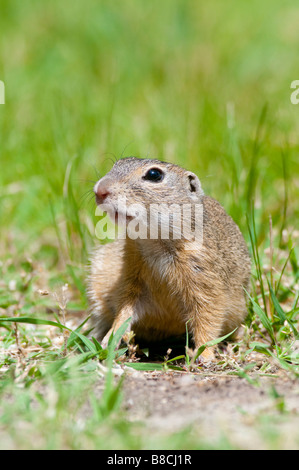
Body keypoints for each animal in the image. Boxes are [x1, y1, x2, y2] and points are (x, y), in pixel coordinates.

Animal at [86, 158, 251, 360]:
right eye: (117, 163)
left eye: (154, 175)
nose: (100, 190)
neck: (155, 241)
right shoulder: (132, 280)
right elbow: (124, 311)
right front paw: (110, 339)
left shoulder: (205, 281)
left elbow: (208, 319)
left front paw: (204, 355)